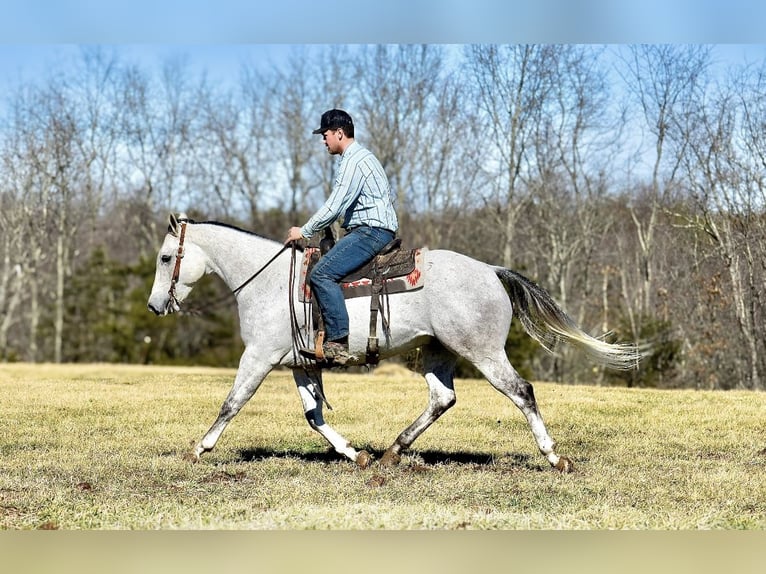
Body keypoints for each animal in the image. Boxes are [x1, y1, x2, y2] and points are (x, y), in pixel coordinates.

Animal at [148, 214, 640, 474]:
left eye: (167, 257)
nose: (155, 306)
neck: (268, 281)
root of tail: (491, 270)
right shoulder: (300, 363)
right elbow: (314, 416)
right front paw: (356, 454)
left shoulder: (259, 358)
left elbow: (232, 403)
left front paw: (199, 449)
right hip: (437, 352)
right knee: (442, 398)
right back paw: (392, 452)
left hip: (483, 352)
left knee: (522, 392)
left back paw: (554, 457)